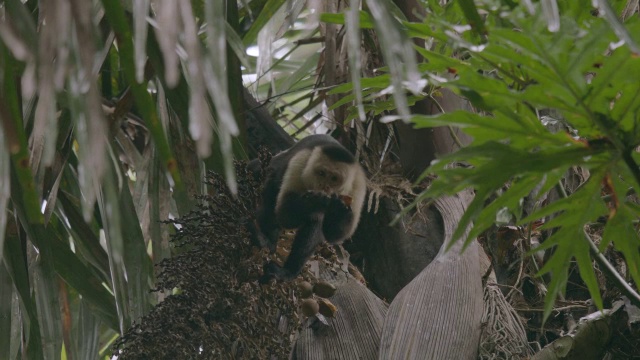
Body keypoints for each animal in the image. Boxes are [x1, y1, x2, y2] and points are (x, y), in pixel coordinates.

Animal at [252, 134, 368, 282]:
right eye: (322, 173)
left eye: (334, 178)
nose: (324, 187)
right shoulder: (301, 161)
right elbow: (285, 215)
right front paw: (317, 199)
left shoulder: (358, 185)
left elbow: (334, 235)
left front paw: (340, 208)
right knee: (271, 179)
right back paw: (267, 241)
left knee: (315, 220)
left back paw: (287, 271)